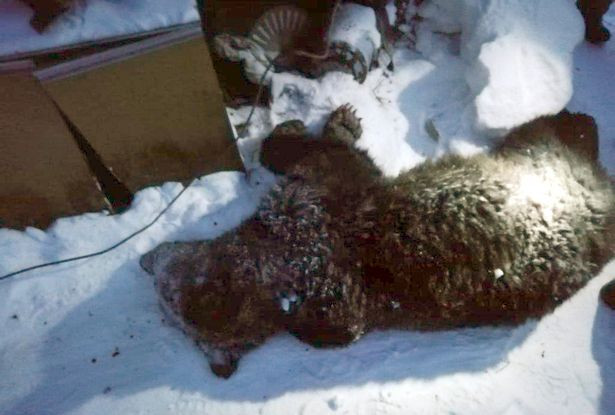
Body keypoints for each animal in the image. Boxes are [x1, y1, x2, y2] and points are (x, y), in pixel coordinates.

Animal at [141, 105, 615, 378]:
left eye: (165, 295)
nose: (149, 260)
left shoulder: (308, 205)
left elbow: (323, 155)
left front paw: (311, 129)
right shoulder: (314, 217)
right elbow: (336, 158)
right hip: (554, 172)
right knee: (554, 135)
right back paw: (579, 125)